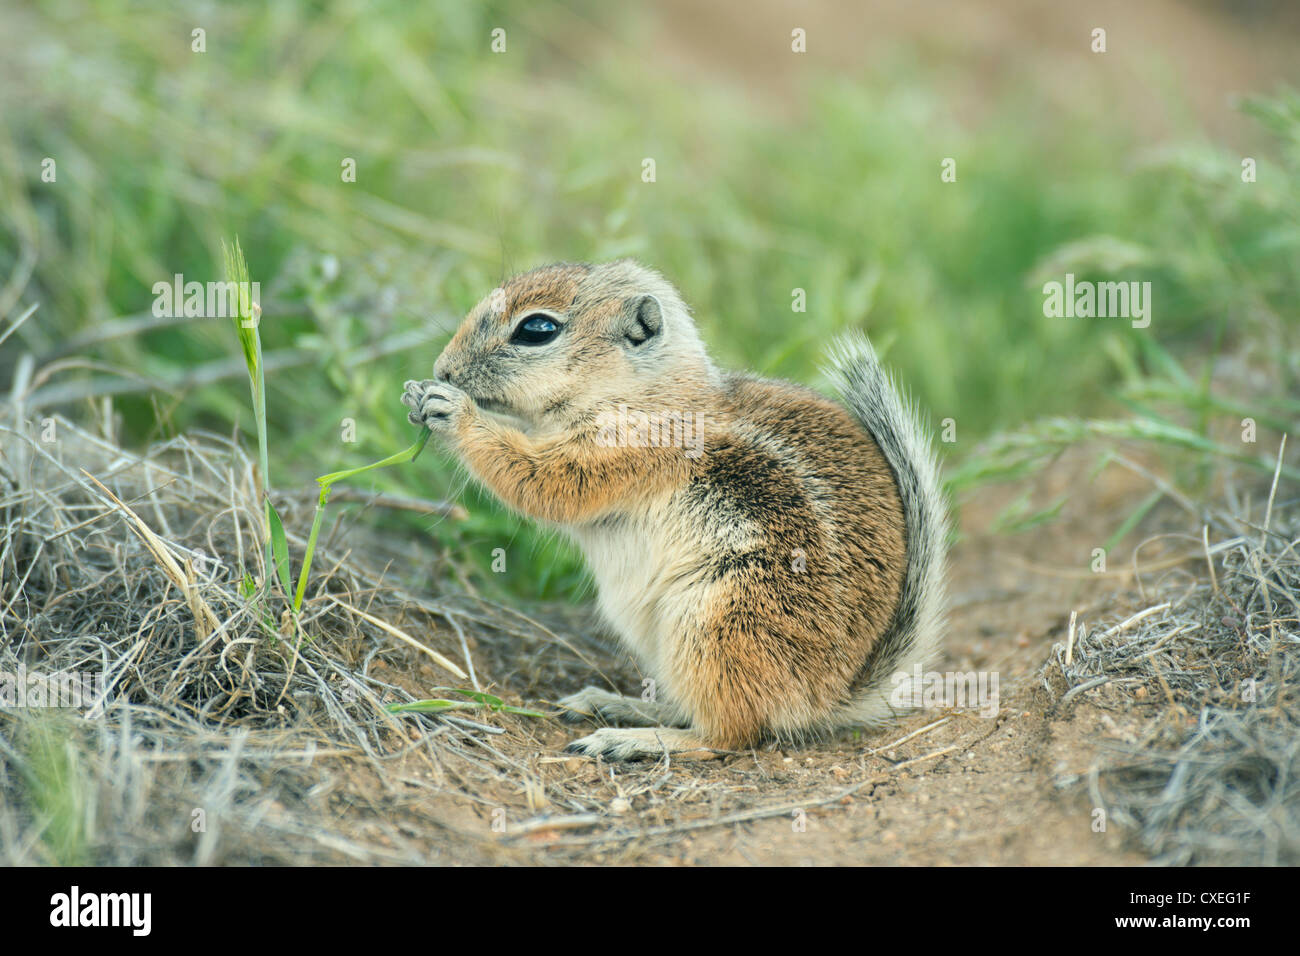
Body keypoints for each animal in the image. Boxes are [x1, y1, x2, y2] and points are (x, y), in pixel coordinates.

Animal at [402, 259, 948, 760]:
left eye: (537, 329)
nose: (443, 369)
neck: (643, 390)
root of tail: (828, 697)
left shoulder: (621, 451)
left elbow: (543, 480)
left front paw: (452, 409)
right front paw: (418, 394)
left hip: (717, 620)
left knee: (730, 735)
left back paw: (631, 738)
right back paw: (616, 703)